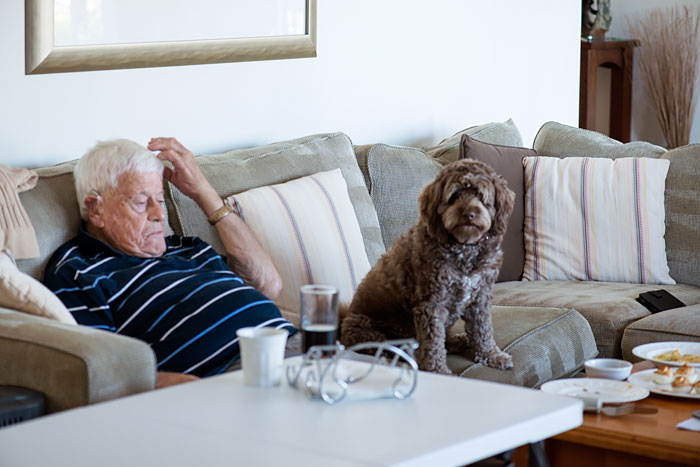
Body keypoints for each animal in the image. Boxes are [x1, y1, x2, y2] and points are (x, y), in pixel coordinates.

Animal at [344, 159, 516, 374]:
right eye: (454, 196)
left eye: (480, 195)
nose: (469, 214)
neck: (464, 247)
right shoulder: (431, 303)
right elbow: (432, 341)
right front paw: (437, 371)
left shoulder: (480, 296)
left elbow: (482, 329)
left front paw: (491, 355)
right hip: (366, 329)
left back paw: (456, 341)